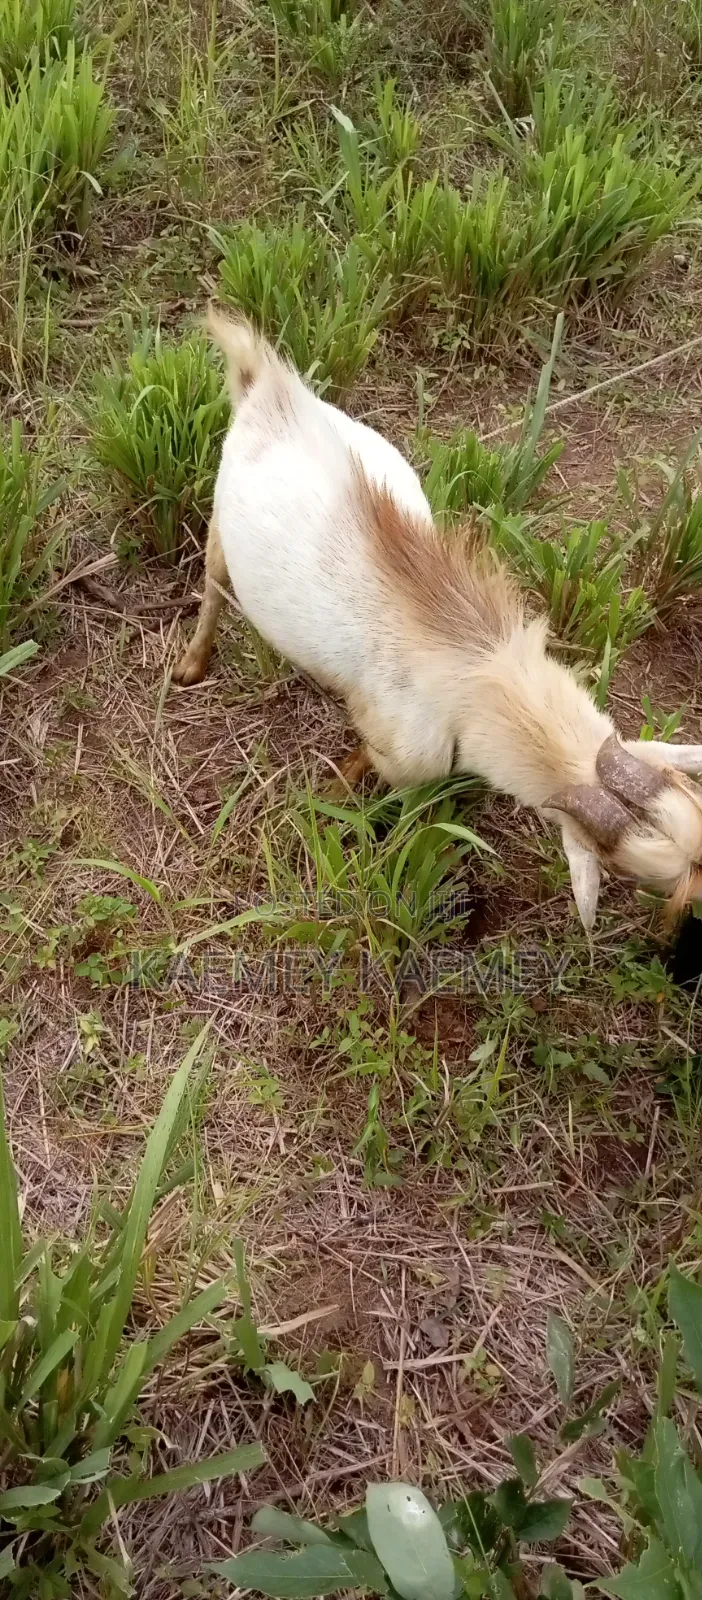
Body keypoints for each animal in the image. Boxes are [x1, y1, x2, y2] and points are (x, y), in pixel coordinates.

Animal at [173, 310, 702, 930]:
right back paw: (191, 664)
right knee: (212, 584)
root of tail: (272, 389)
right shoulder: (406, 751)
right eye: (660, 882)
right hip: (220, 519)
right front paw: (338, 787)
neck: (476, 663)